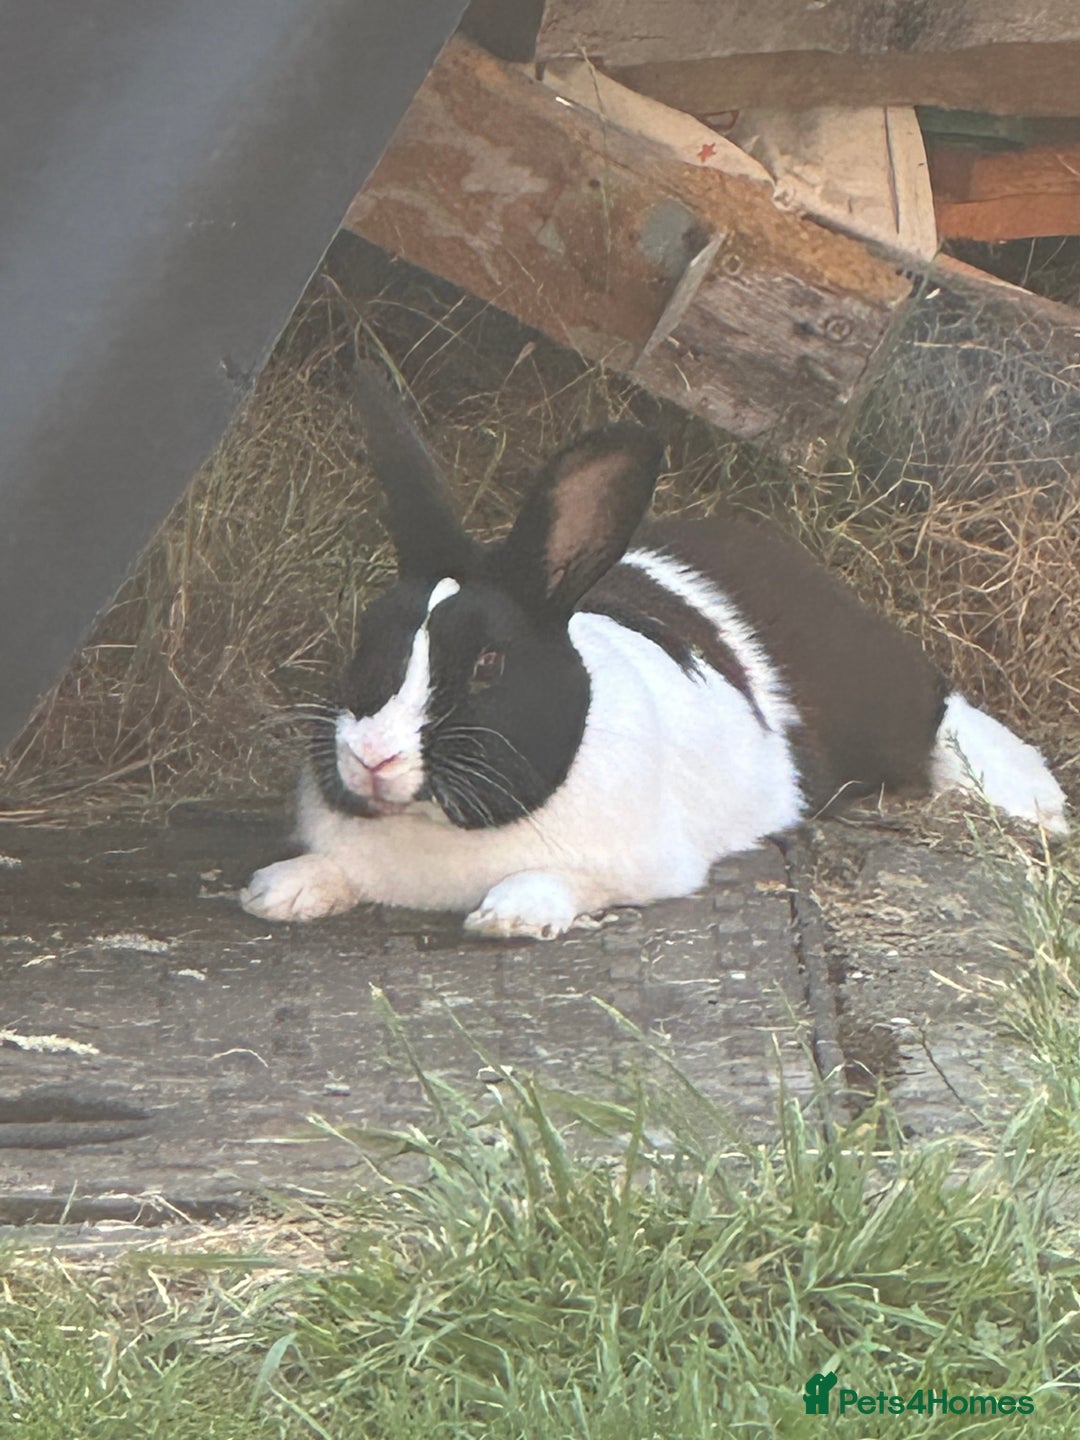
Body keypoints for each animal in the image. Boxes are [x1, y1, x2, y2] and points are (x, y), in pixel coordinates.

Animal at [240, 362, 1068, 940]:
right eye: (364, 642)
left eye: (487, 666)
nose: (372, 756)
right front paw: (279, 890)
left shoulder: (643, 864)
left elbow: (570, 881)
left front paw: (513, 915)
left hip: (889, 708)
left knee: (942, 719)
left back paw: (1037, 803)